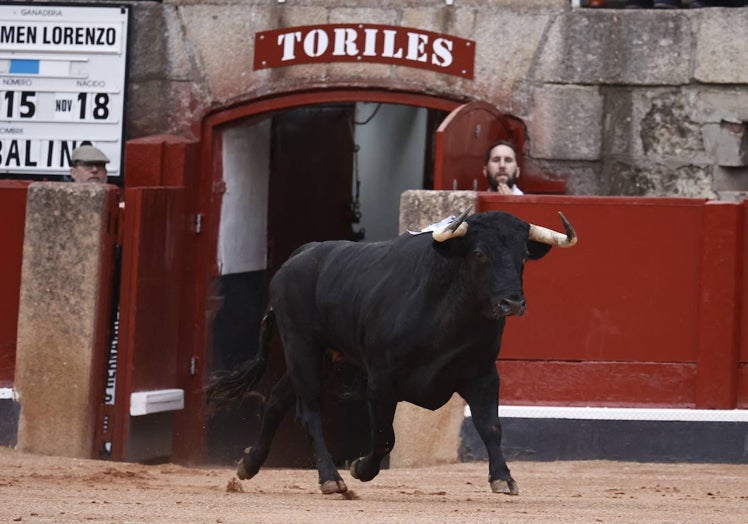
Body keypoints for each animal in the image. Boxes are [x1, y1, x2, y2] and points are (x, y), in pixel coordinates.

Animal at [206, 209, 580, 496]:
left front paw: (503, 479)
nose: (512, 302)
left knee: (277, 399)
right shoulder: (381, 381)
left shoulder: (484, 375)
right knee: (308, 410)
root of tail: (300, 255)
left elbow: (490, 426)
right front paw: (360, 467)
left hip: (321, 355)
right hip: (301, 345)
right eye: (479, 253)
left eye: (523, 257)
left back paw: (249, 464)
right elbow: (385, 436)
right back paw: (331, 479)